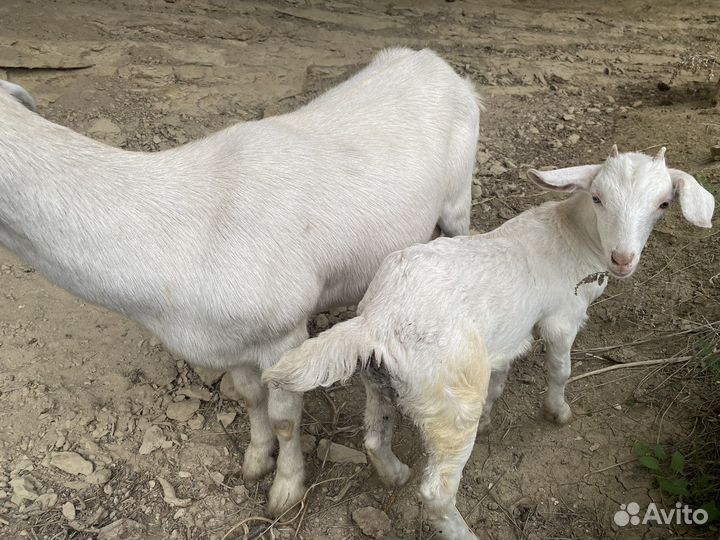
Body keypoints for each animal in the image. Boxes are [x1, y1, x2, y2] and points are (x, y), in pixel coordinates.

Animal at [0, 47, 480, 516]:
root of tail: (437, 62)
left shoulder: (284, 337)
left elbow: (286, 419)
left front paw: (285, 489)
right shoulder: (230, 342)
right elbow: (250, 399)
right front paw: (255, 460)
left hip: (458, 197)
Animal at [263, 145, 715, 539]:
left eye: (664, 204)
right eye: (598, 197)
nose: (623, 259)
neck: (575, 236)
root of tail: (376, 321)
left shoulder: (508, 335)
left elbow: (501, 374)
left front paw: (493, 413)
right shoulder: (562, 318)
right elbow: (561, 370)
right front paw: (558, 412)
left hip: (381, 381)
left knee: (375, 436)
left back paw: (395, 473)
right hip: (451, 401)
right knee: (436, 492)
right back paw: (461, 530)